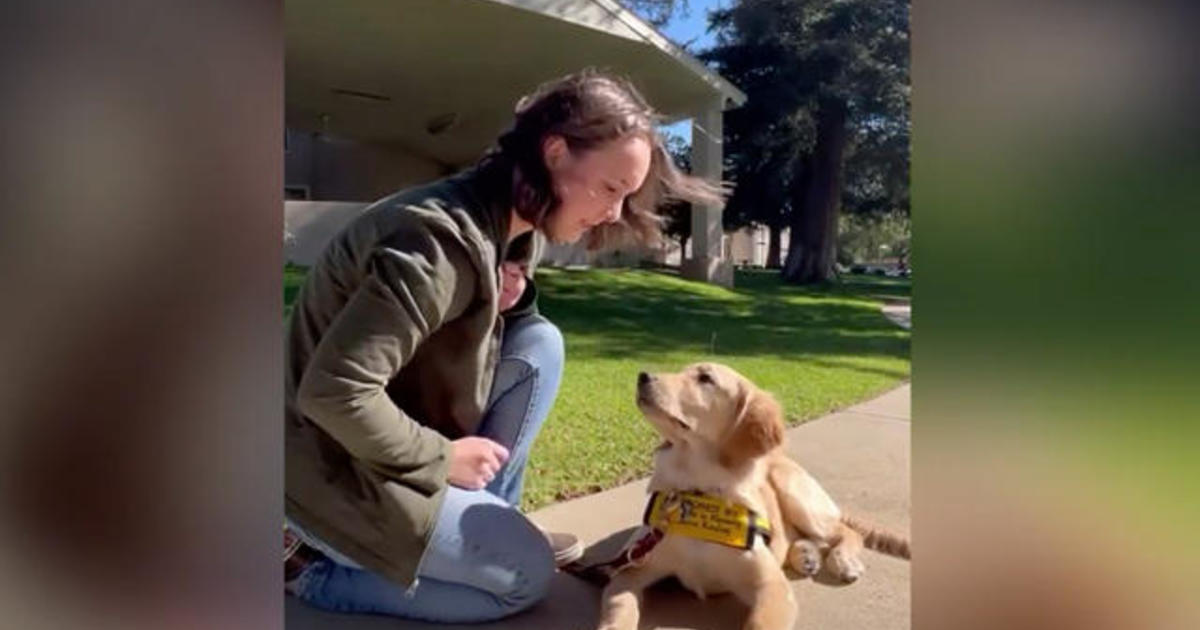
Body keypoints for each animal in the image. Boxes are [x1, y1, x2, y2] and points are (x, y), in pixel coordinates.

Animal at [600, 360, 907, 624]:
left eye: (705, 378)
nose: (642, 376)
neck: (697, 489)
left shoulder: (772, 587)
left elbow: (759, 622)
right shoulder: (630, 571)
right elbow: (619, 613)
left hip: (792, 489)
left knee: (845, 531)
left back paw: (842, 561)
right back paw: (806, 555)